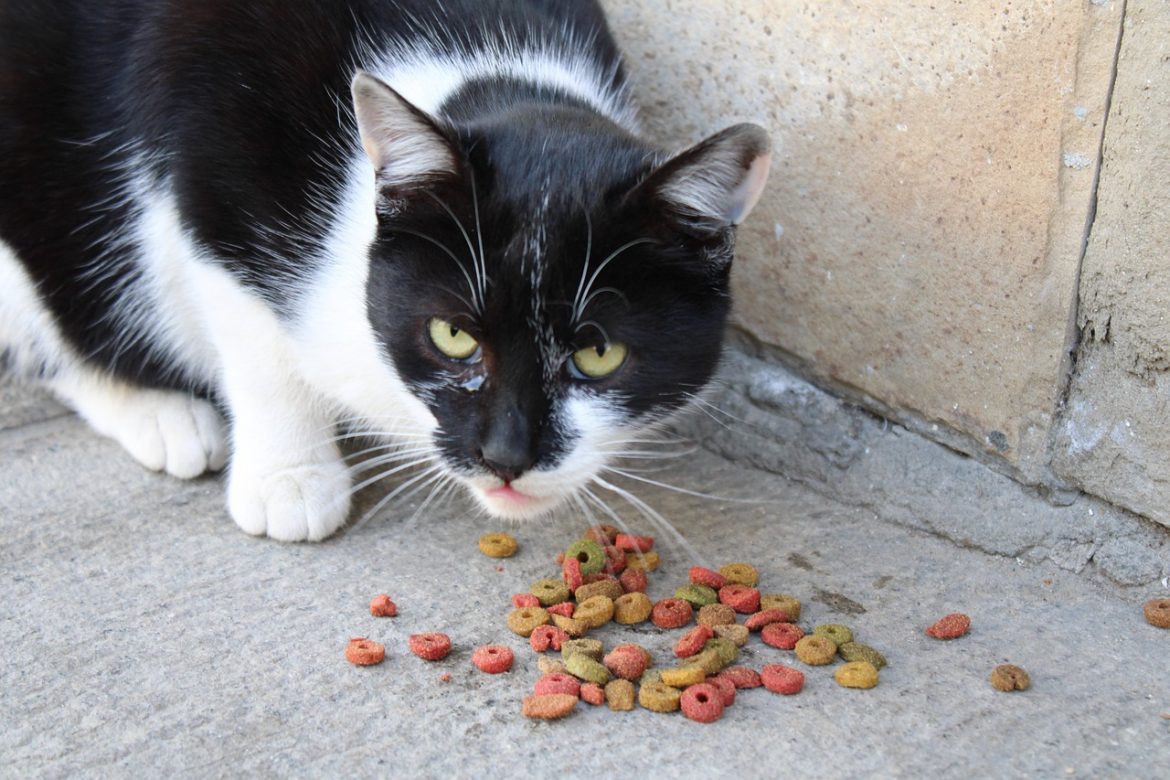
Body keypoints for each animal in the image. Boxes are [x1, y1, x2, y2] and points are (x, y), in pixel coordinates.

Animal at [2, 0, 767, 540]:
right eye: (453, 336)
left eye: (598, 355)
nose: (505, 457)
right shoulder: (208, 155)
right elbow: (249, 324)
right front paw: (290, 476)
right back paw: (166, 417)